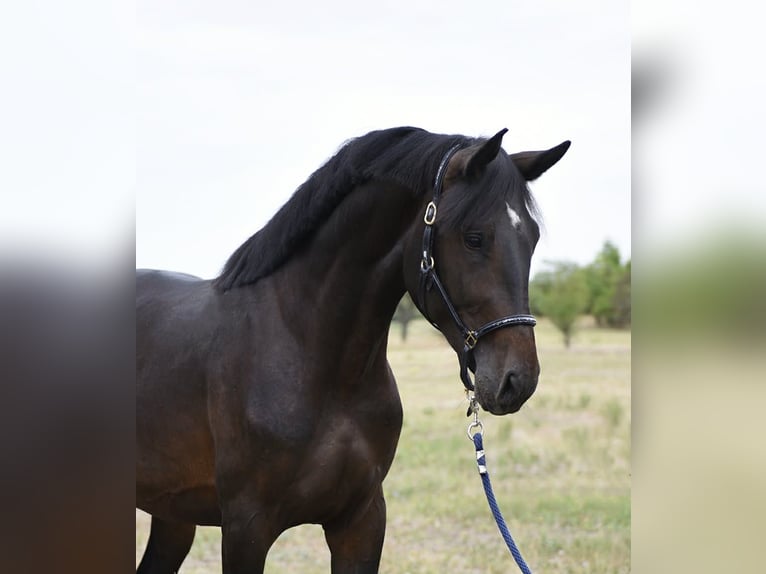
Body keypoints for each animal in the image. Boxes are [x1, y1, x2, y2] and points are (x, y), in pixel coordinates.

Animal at [136, 126, 570, 573]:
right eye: (474, 238)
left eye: (532, 239)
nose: (517, 380)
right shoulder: (245, 528)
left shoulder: (361, 520)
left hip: (172, 513)